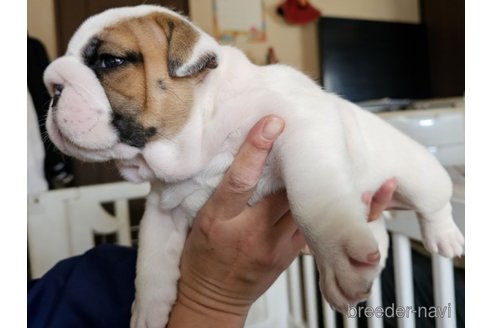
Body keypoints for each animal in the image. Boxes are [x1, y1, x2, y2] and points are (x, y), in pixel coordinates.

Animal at [43, 5, 466, 328]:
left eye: (109, 61)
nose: (52, 86)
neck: (201, 136)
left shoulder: (300, 132)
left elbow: (314, 202)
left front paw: (338, 258)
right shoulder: (162, 210)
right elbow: (152, 261)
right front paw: (147, 311)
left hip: (419, 177)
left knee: (434, 205)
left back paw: (443, 237)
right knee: (375, 229)